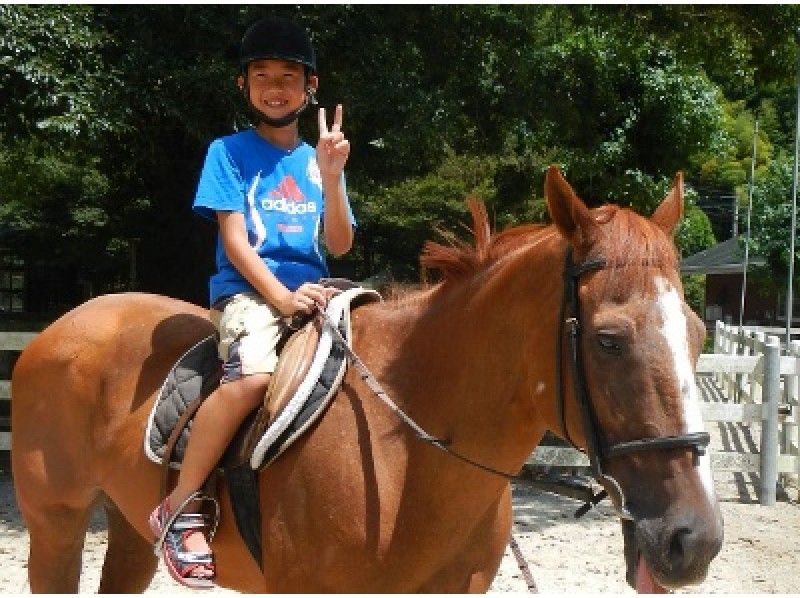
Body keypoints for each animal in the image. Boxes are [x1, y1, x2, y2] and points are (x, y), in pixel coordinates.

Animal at [11, 166, 723, 593]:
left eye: (696, 334)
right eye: (609, 340)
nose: (695, 539)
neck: (410, 450)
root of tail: (58, 328)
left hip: (130, 527)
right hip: (56, 523)